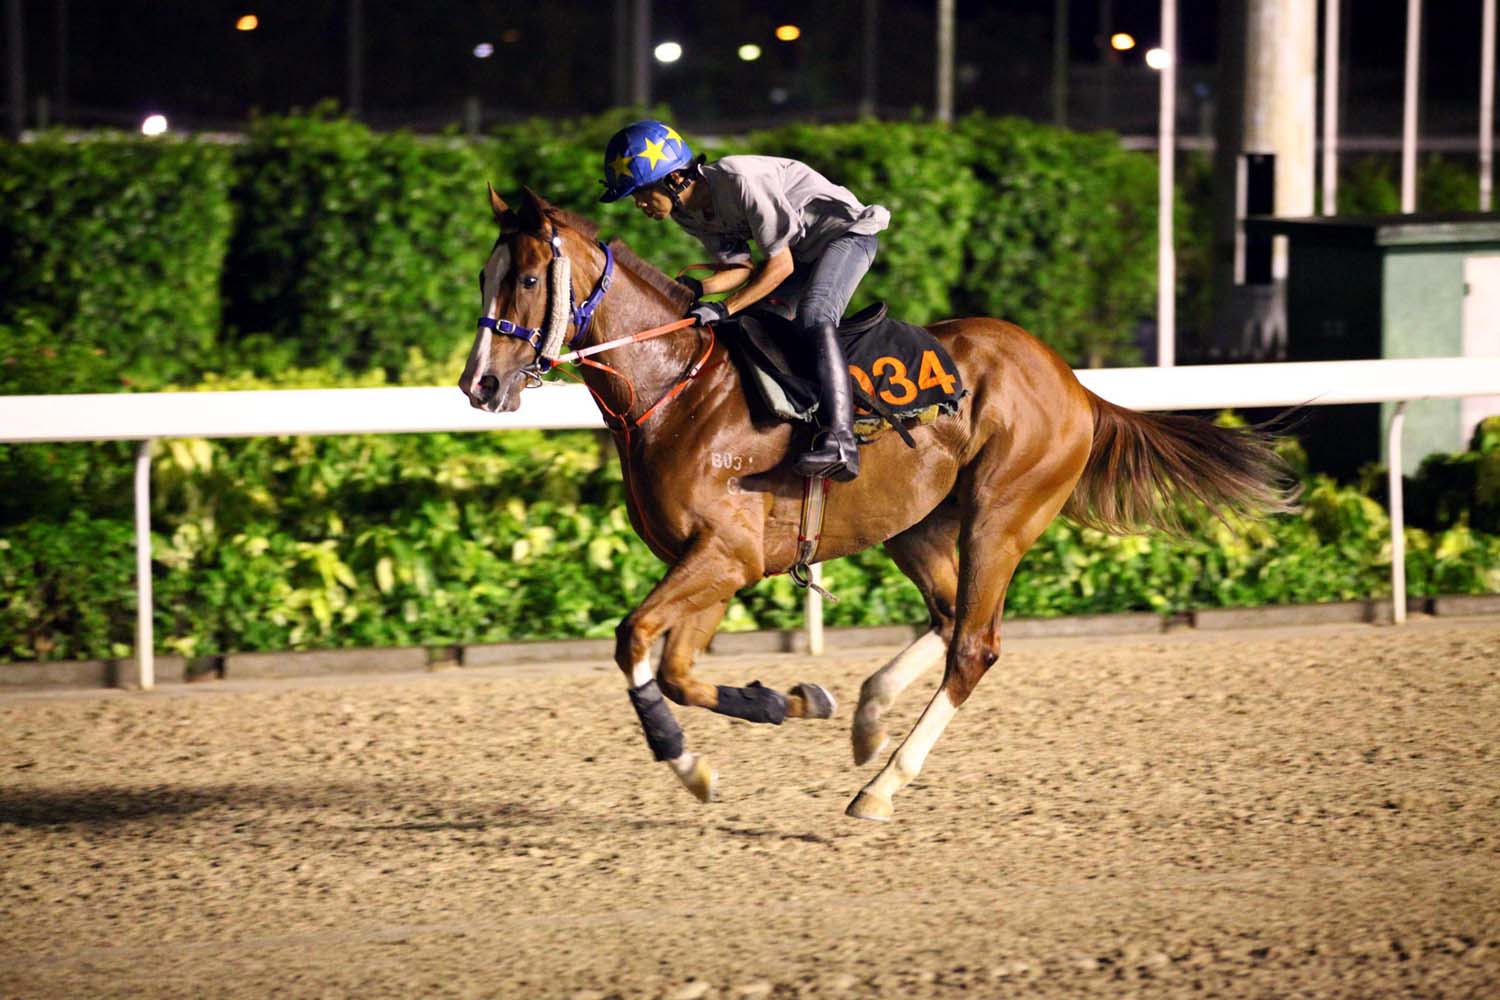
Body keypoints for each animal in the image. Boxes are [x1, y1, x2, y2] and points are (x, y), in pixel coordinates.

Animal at [456, 185, 1290, 821]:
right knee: (949, 620)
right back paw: (866, 717)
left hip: (1001, 516)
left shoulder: (725, 555)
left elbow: (634, 641)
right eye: (483, 276)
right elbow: (683, 673)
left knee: (974, 646)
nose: (479, 384)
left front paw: (686, 763)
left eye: (525, 280)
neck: (676, 388)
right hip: (917, 526)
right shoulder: (715, 561)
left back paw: (879, 787)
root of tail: (1072, 382)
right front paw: (791, 701)